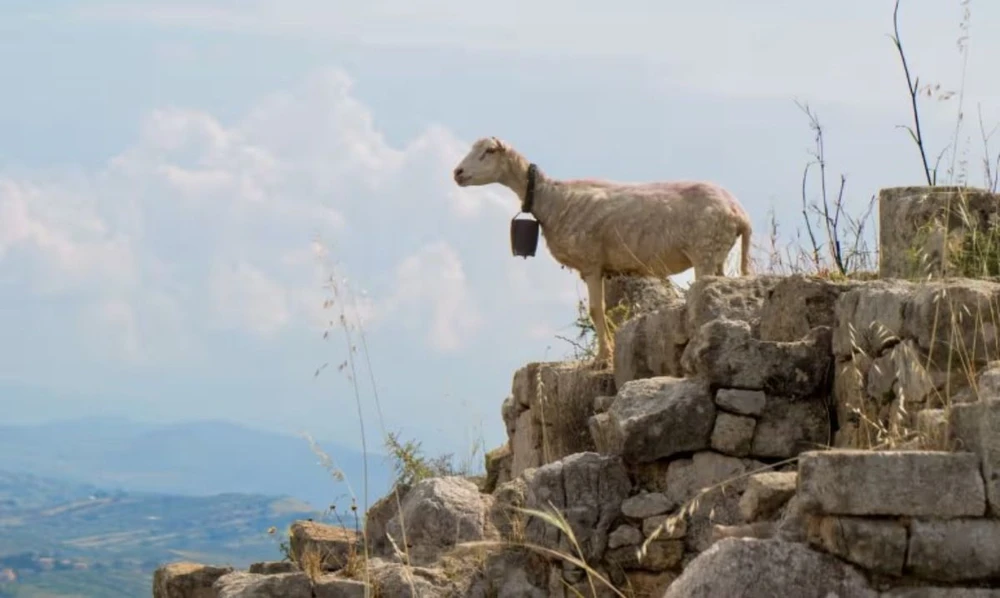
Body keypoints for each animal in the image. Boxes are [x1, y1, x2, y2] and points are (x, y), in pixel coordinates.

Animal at [452, 137, 752, 366]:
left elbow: (597, 311)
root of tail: (739, 212)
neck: (553, 200)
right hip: (717, 254)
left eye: (489, 151)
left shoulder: (591, 264)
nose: (457, 173)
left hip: (705, 252)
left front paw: (602, 359)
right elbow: (603, 310)